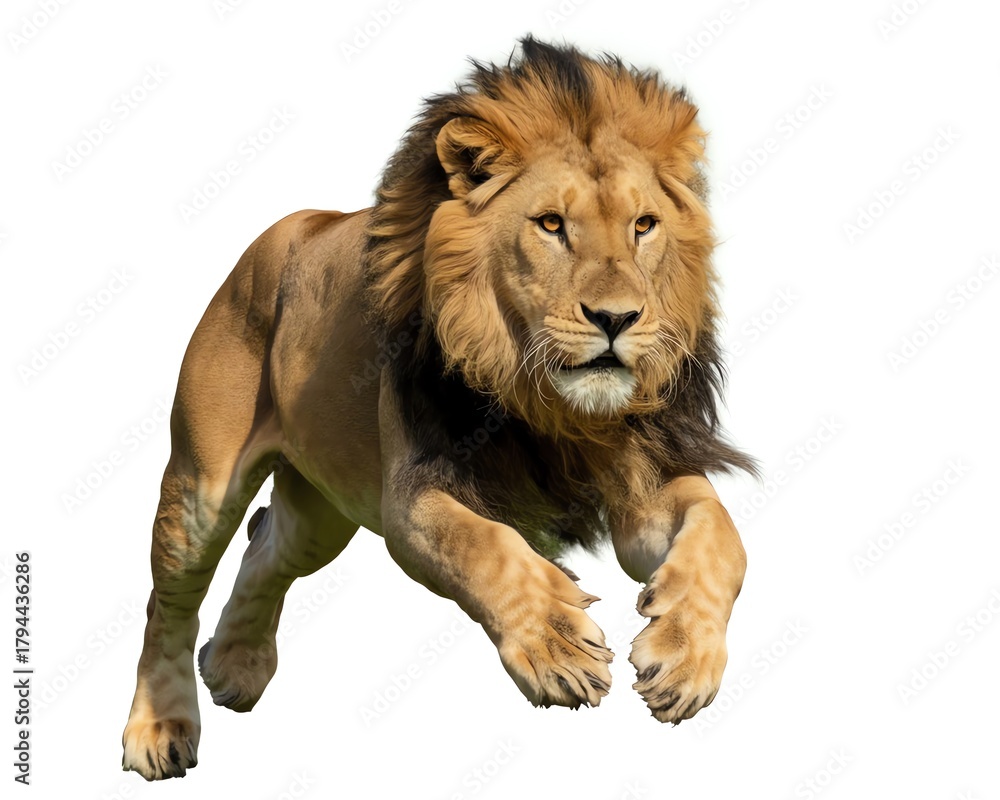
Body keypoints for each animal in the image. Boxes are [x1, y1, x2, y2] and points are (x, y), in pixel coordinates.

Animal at [122, 37, 755, 780]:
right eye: (551, 225)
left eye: (644, 226)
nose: (616, 319)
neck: (553, 408)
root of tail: (292, 226)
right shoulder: (417, 491)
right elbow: (487, 548)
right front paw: (559, 647)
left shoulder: (645, 484)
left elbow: (722, 539)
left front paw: (685, 657)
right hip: (202, 487)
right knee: (167, 601)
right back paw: (159, 728)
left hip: (320, 514)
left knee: (267, 546)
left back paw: (235, 666)